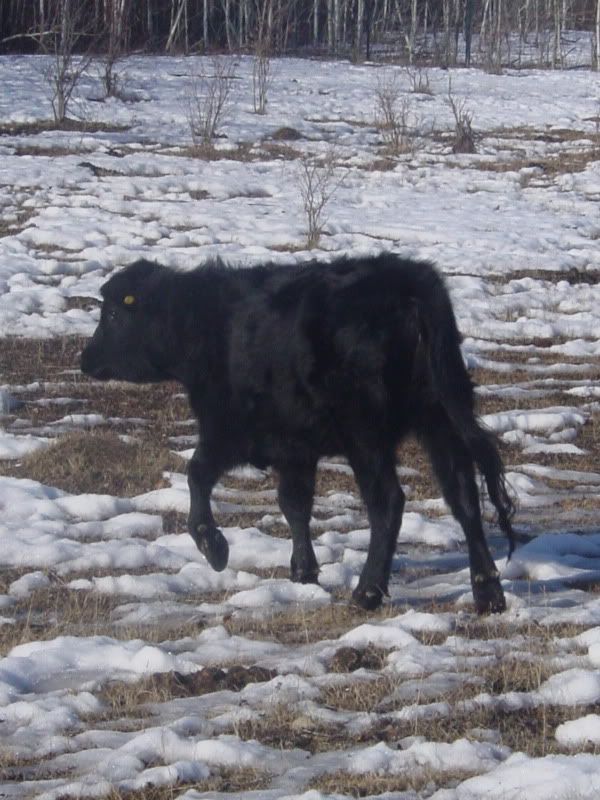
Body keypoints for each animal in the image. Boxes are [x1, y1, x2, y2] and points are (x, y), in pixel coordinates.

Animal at [80, 253, 515, 613]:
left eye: (114, 315)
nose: (85, 359)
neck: (209, 325)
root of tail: (408, 285)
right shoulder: (295, 447)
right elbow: (295, 505)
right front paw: (303, 573)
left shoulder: (228, 430)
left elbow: (197, 475)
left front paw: (214, 546)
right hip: (441, 417)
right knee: (463, 496)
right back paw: (488, 592)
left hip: (366, 435)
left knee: (388, 503)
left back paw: (367, 593)